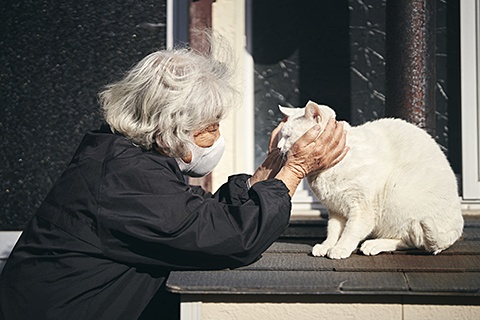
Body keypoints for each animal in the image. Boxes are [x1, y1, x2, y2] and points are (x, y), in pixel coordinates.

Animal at [280, 101, 464, 258]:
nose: (279, 146)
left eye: (287, 136)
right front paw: (327, 246)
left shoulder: (362, 209)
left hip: (397, 195)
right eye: (281, 135)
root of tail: (456, 228)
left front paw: (340, 248)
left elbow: (350, 231)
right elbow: (333, 231)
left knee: (414, 241)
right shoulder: (336, 210)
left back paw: (374, 245)